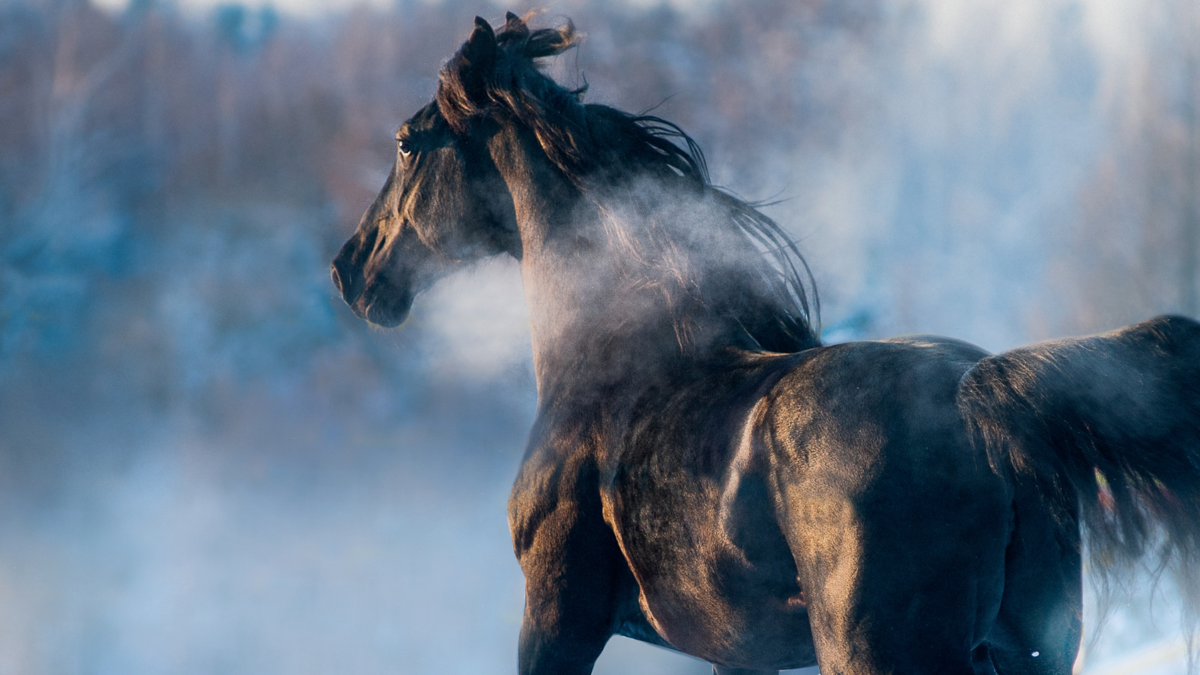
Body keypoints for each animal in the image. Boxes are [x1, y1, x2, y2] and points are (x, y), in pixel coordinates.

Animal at [333, 15, 1200, 672]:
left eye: (407, 142)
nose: (352, 269)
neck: (610, 362)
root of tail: (977, 402)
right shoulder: (736, 649)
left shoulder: (555, 616)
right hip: (1029, 653)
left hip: (881, 653)